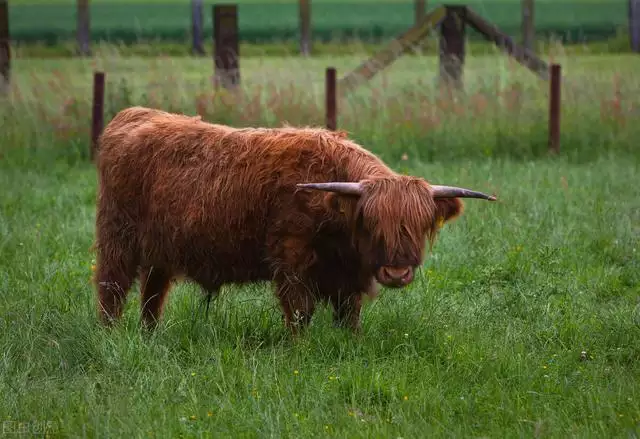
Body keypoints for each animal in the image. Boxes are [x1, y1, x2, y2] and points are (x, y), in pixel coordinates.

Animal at [94, 106, 496, 334]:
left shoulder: (349, 274)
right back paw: (111, 336)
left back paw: (150, 335)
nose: (396, 272)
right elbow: (299, 312)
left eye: (418, 225)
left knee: (153, 293)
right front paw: (296, 349)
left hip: (161, 249)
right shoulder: (291, 260)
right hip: (117, 237)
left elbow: (349, 315)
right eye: (371, 223)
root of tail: (135, 114)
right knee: (111, 288)